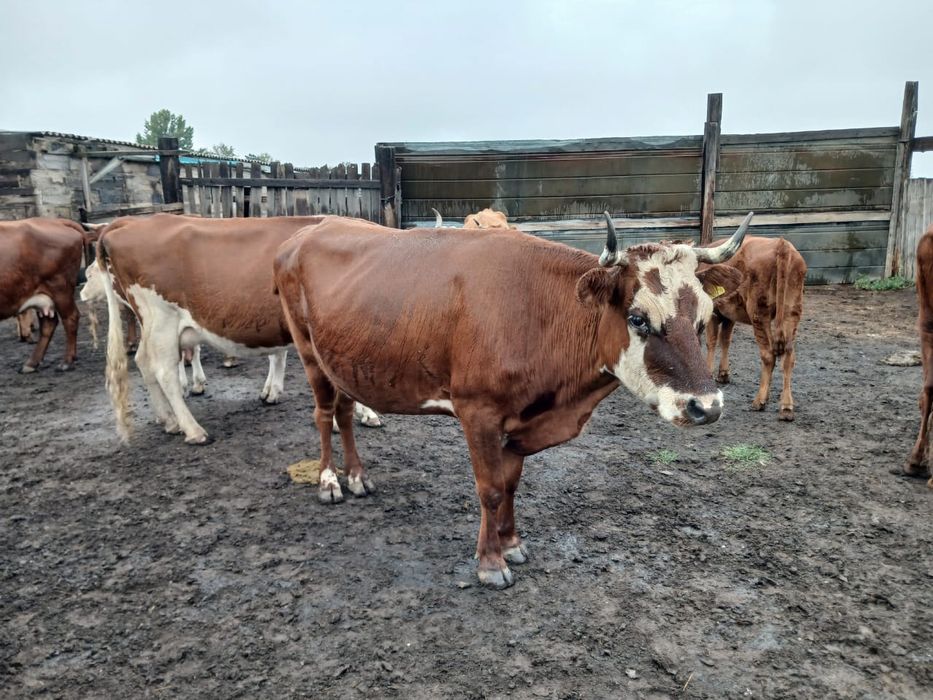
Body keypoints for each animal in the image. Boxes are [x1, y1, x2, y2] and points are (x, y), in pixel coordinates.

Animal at [0, 218, 85, 373]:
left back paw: (67, 362)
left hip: (60, 289)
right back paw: (31, 363)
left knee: (70, 318)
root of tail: (57, 221)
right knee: (48, 324)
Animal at [97, 214, 381, 444]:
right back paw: (193, 429)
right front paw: (353, 416)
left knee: (143, 362)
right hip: (162, 319)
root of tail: (131, 223)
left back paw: (168, 420)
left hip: (151, 324)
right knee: (164, 372)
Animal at [273, 211, 752, 588]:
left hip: (342, 360)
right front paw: (490, 562)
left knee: (345, 411)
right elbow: (489, 489)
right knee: (323, 414)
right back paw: (329, 481)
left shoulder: (522, 419)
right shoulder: (478, 411)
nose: (707, 406)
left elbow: (510, 485)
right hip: (309, 351)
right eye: (638, 318)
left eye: (704, 318)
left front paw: (512, 544)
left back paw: (356, 476)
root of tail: (306, 233)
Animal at [703, 236, 806, 421]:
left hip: (759, 314)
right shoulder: (729, 315)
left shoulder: (714, 313)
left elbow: (712, 341)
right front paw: (723, 374)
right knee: (788, 357)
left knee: (768, 355)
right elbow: (725, 340)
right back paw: (786, 406)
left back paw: (760, 400)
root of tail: (782, 245)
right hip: (791, 311)